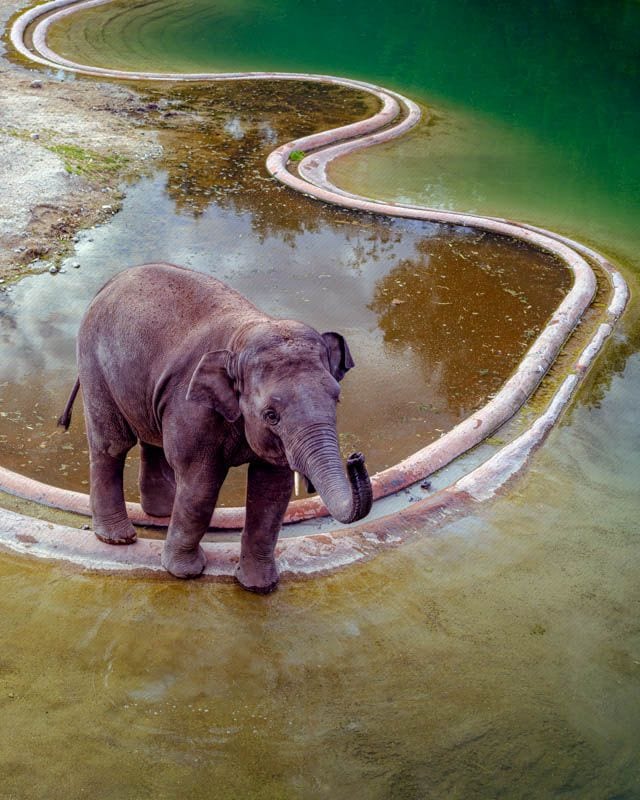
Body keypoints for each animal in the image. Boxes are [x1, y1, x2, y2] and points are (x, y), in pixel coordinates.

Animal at [59, 263, 372, 593]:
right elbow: (201, 485)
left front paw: (258, 587)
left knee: (152, 440)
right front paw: (185, 573)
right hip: (94, 363)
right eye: (270, 415)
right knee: (112, 445)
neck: (245, 332)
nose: (355, 457)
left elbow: (273, 492)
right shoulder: (193, 407)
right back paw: (119, 539)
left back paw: (162, 512)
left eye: (337, 398)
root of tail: (110, 282)